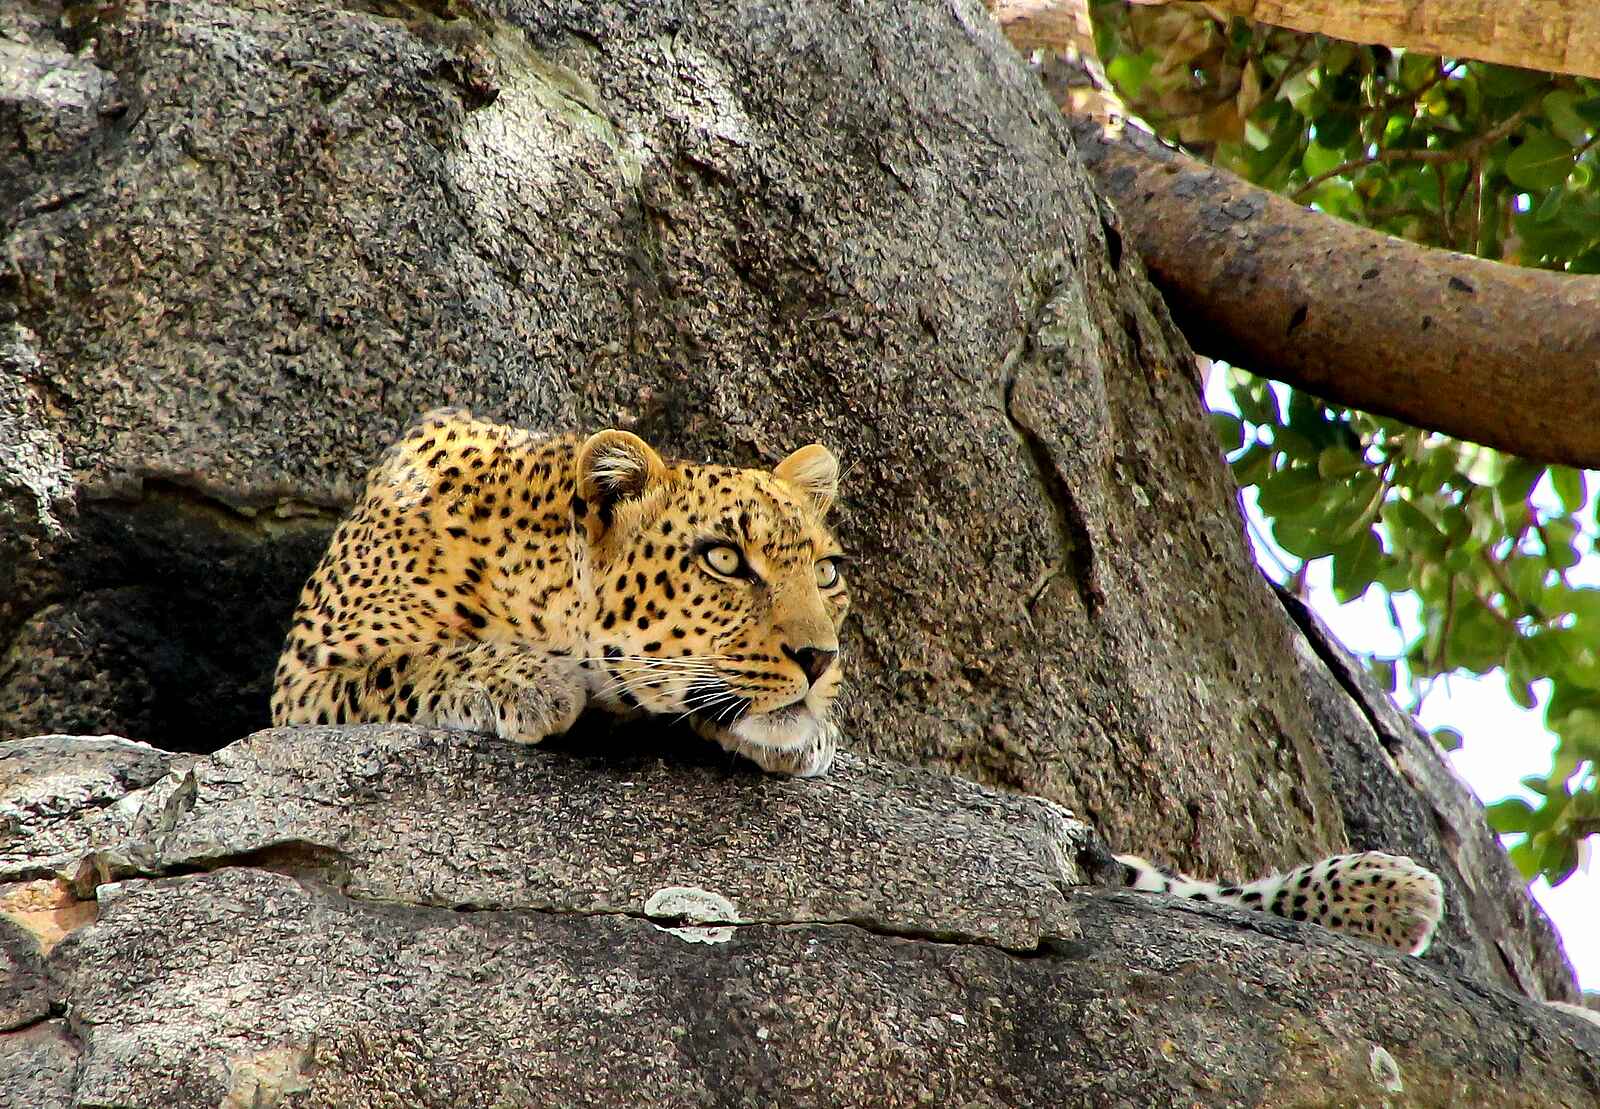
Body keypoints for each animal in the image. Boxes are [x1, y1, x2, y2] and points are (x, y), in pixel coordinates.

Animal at [272, 408, 1444, 956]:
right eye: (724, 559)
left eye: (826, 569)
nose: (821, 658)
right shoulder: (303, 687)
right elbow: (422, 660)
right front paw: (530, 678)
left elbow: (1125, 865)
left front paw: (1369, 888)